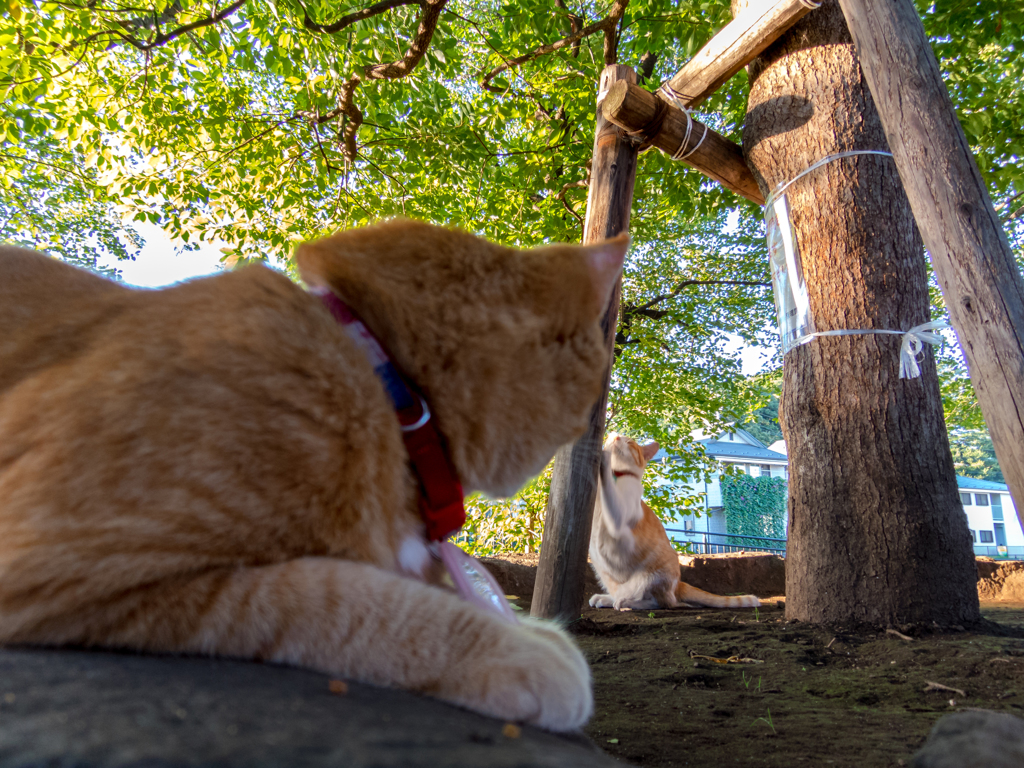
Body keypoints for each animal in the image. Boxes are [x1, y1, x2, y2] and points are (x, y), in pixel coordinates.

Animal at [593, 434, 761, 614]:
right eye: (613, 435)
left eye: (629, 442)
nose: (615, 436)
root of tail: (679, 584)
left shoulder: (618, 521)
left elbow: (609, 489)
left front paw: (604, 457)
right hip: (605, 574)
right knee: (622, 593)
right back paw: (605, 598)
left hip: (651, 577)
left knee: (663, 602)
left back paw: (627, 603)